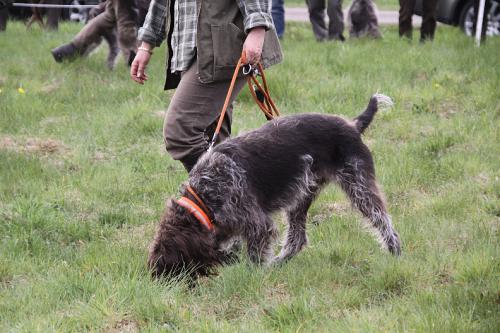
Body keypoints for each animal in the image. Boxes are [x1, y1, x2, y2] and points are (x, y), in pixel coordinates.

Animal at [146, 94, 400, 278]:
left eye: (173, 260)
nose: (156, 277)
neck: (204, 196)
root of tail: (352, 125)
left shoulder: (258, 224)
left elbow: (254, 256)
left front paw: (252, 276)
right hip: (302, 194)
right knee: (297, 238)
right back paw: (279, 263)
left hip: (358, 185)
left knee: (383, 220)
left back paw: (395, 252)